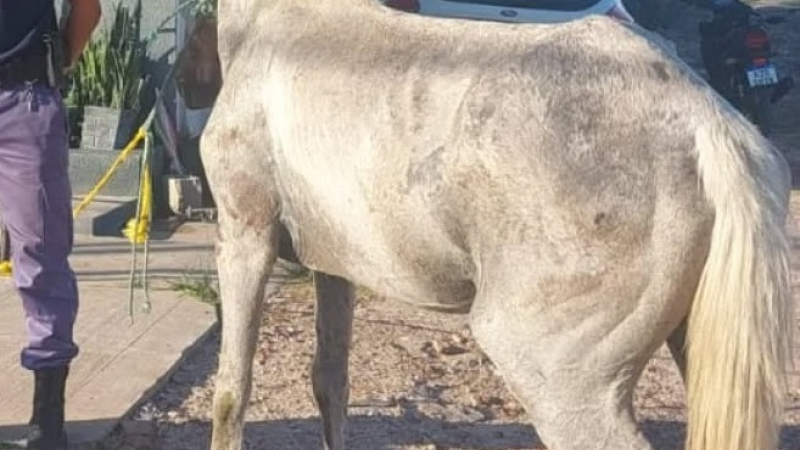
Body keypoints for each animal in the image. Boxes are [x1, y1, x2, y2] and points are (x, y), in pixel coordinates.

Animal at [199, 1, 794, 449]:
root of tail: (703, 122)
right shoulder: (335, 264)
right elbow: (331, 383)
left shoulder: (244, 236)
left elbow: (231, 392)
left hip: (555, 373)